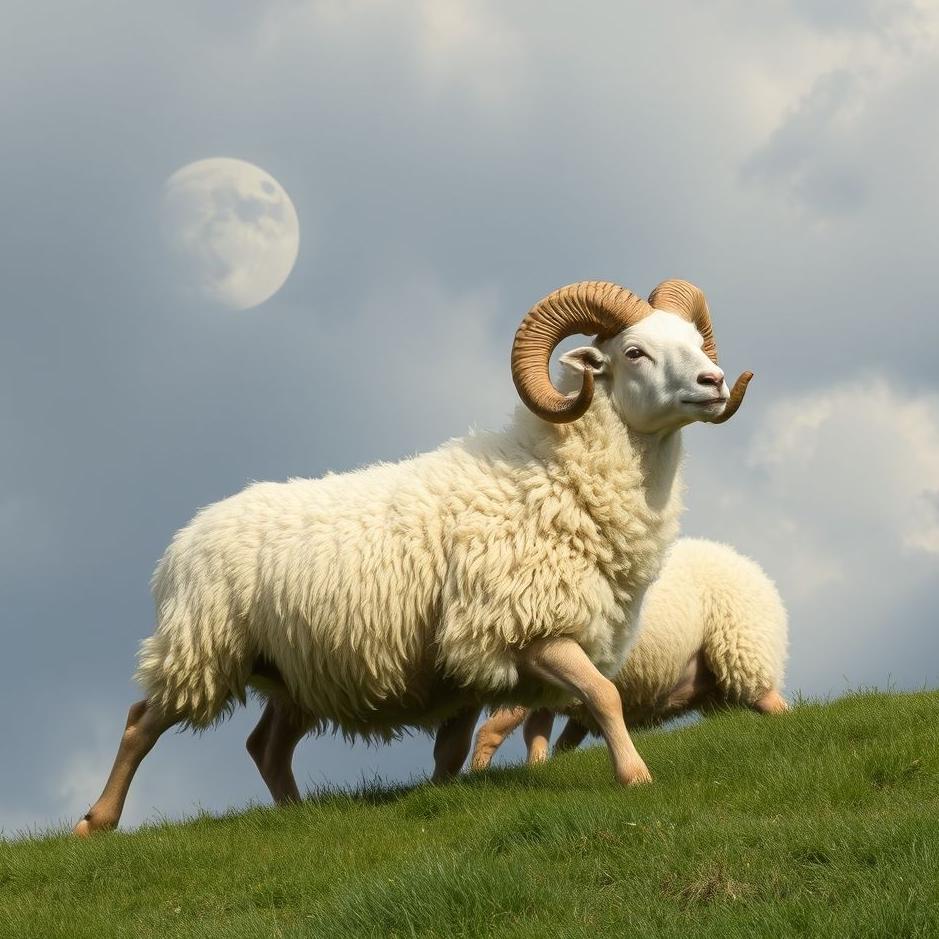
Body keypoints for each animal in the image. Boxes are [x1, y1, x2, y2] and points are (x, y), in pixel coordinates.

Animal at [74, 279, 752, 835]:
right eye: (634, 353)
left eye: (695, 341)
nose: (715, 383)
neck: (552, 475)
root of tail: (183, 539)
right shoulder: (528, 627)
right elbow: (603, 696)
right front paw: (635, 777)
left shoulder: (471, 656)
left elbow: (450, 750)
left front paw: (440, 798)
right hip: (204, 646)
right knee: (140, 722)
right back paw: (96, 822)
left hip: (292, 671)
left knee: (265, 747)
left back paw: (296, 815)